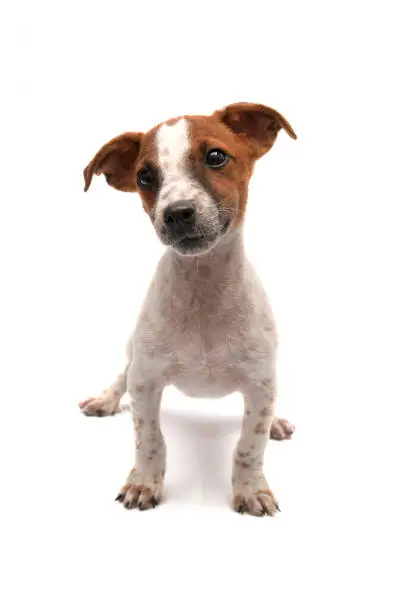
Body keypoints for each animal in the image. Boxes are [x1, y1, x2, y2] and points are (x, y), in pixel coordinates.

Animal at [79, 103, 296, 512]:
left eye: (216, 156)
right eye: (145, 176)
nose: (177, 213)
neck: (202, 291)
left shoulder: (260, 386)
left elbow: (250, 445)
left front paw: (251, 489)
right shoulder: (146, 380)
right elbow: (150, 441)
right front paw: (144, 483)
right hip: (133, 353)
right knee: (121, 377)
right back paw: (105, 399)